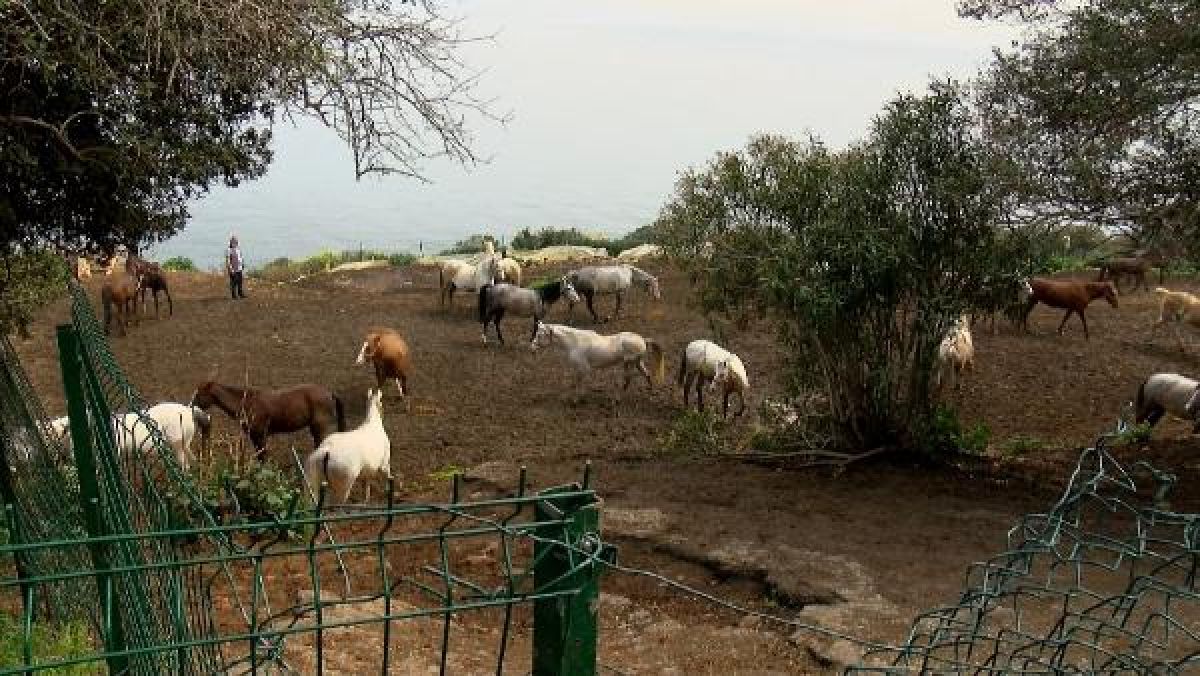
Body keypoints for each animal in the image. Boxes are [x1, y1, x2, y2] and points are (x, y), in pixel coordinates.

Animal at [189, 381, 345, 465]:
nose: (190, 406)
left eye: (199, 394)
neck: (247, 402)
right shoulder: (254, 437)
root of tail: (329, 393)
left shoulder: (260, 436)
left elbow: (262, 455)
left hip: (320, 427)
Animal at [532, 321, 667, 401]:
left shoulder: (583, 368)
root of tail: (643, 340)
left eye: (540, 335)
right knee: (647, 375)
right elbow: (575, 383)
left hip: (629, 363)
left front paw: (576, 399)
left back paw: (617, 399)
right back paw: (651, 393)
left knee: (628, 379)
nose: (532, 347)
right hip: (637, 362)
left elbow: (578, 383)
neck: (575, 342)